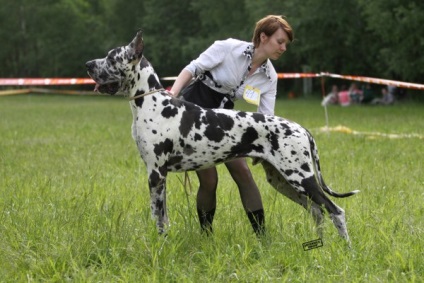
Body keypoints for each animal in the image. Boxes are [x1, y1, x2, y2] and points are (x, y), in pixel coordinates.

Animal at [85, 30, 358, 244]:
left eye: (111, 56)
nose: (88, 64)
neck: (152, 103)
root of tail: (302, 129)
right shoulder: (158, 175)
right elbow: (162, 216)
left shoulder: (156, 173)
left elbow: (158, 217)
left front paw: (158, 244)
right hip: (282, 180)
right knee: (317, 212)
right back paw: (318, 245)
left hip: (301, 177)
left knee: (335, 210)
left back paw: (346, 250)